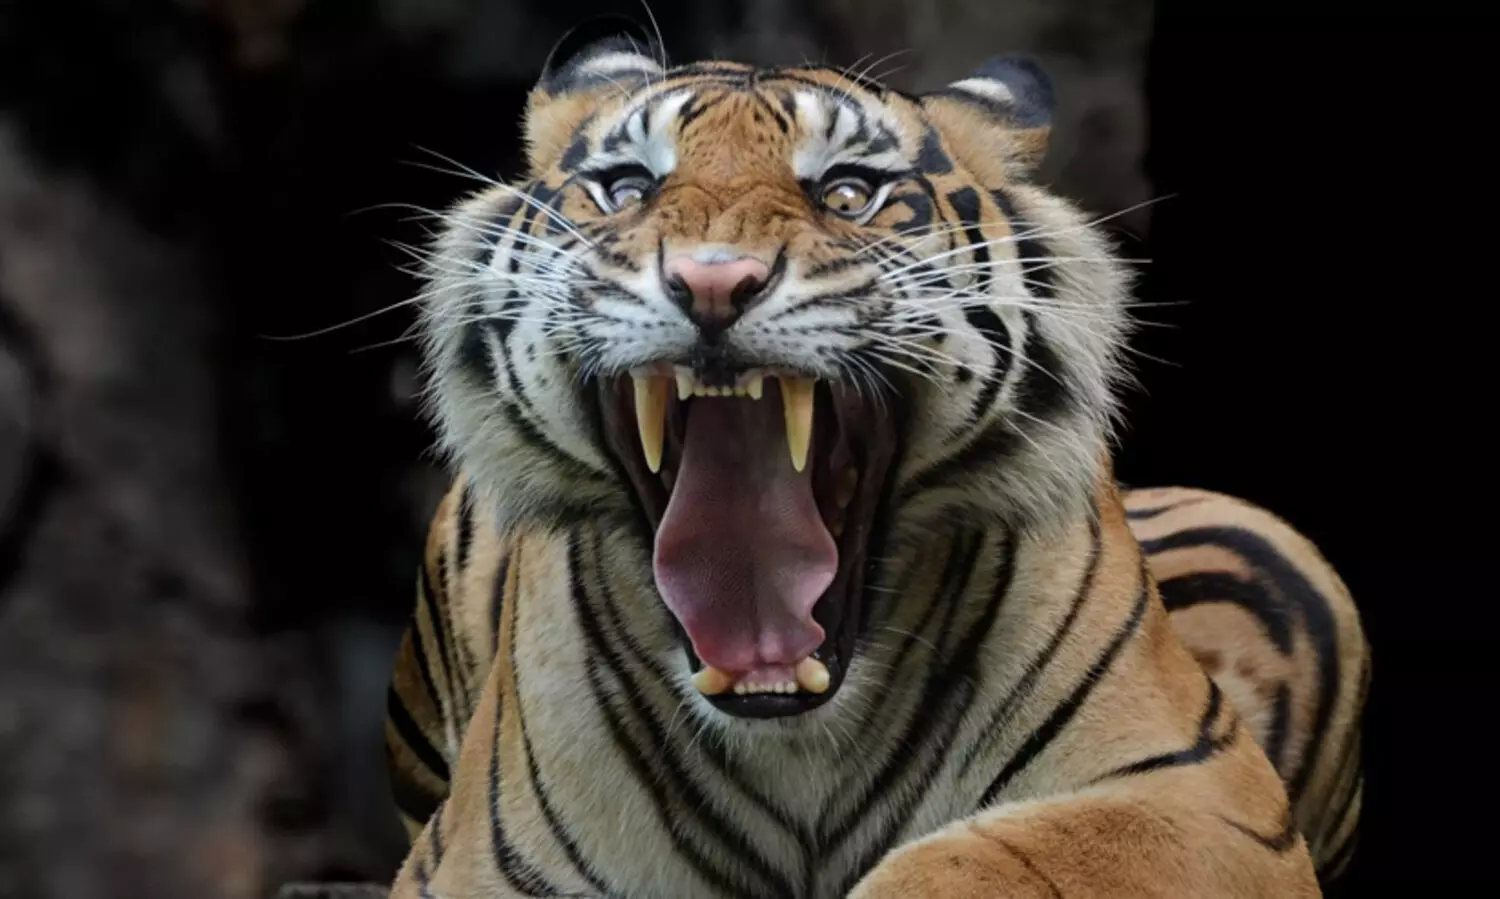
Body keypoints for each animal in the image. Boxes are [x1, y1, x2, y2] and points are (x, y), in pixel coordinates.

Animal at [379, 39, 1370, 898]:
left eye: (848, 193)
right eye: (627, 187)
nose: (712, 283)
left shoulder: (1208, 796)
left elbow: (976, 857)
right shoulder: (470, 862)